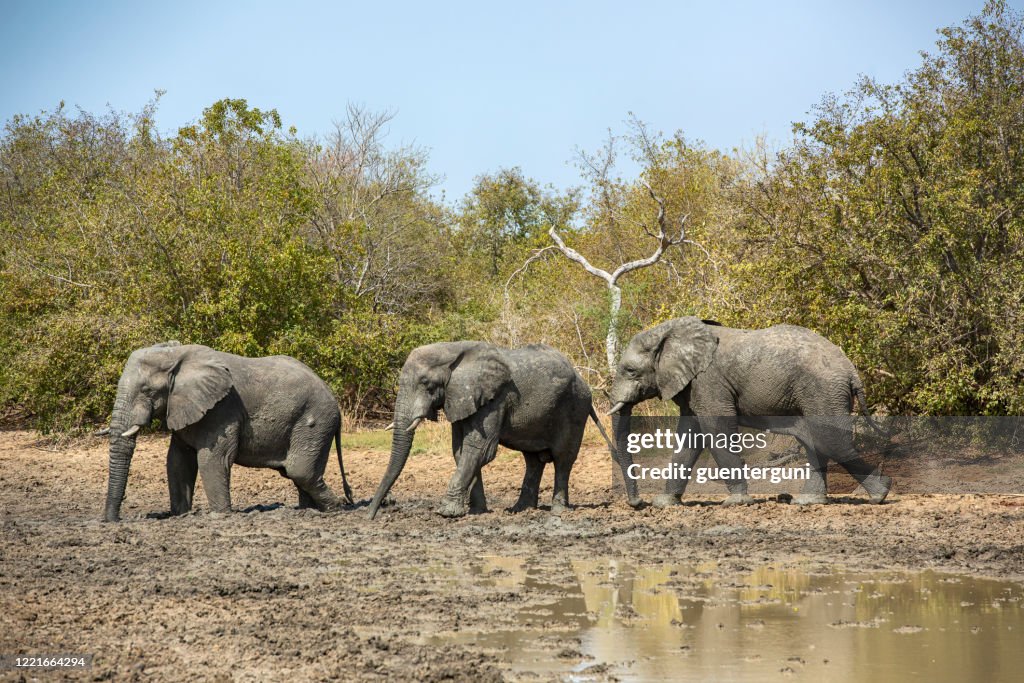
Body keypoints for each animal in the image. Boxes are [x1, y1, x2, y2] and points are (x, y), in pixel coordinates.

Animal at [99, 342, 354, 524]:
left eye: (147, 390)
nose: (113, 521)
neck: (176, 354)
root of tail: (334, 399)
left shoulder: (222, 408)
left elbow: (212, 459)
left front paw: (219, 516)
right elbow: (177, 461)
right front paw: (180, 515)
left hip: (315, 421)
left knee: (300, 471)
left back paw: (337, 509)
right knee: (300, 473)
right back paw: (308, 511)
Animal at [368, 342, 614, 518]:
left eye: (426, 384)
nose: (371, 515)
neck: (452, 350)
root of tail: (582, 379)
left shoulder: (495, 400)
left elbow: (480, 450)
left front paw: (446, 512)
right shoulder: (461, 399)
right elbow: (461, 451)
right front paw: (477, 511)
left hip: (575, 407)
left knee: (563, 458)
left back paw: (558, 511)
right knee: (533, 460)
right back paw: (519, 510)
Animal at [606, 319, 888, 507]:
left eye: (630, 371)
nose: (637, 503)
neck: (668, 333)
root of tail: (852, 371)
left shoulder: (708, 382)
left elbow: (716, 429)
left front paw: (737, 503)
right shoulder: (693, 387)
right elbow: (690, 436)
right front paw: (664, 504)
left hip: (823, 390)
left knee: (830, 440)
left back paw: (881, 493)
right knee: (815, 441)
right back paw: (807, 502)